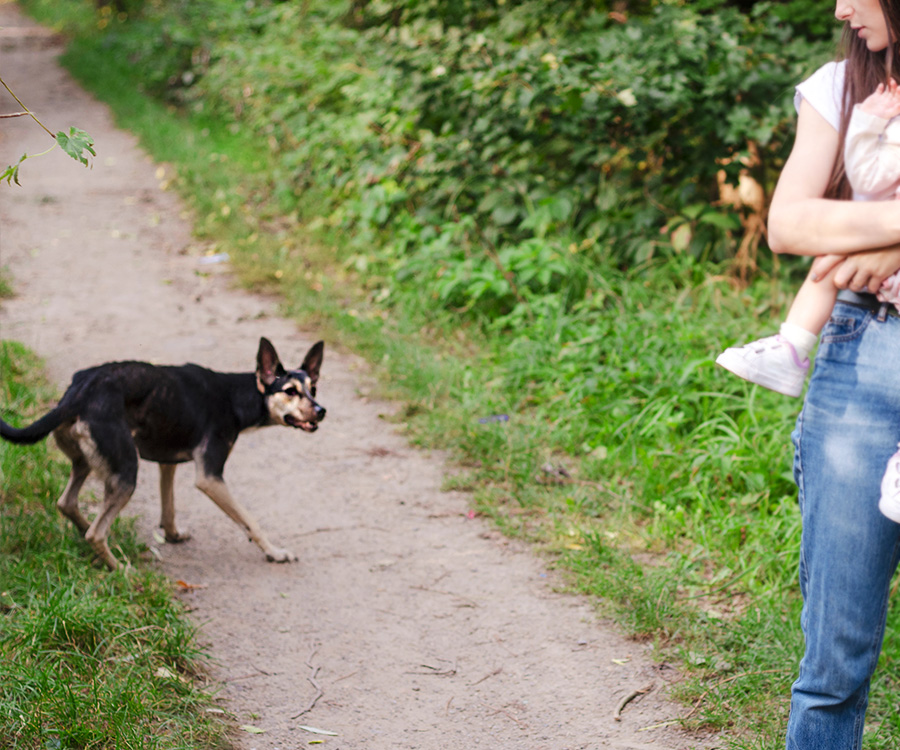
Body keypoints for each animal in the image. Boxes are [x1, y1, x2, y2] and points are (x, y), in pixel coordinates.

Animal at [0, 340, 324, 568]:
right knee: (96, 532)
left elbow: (169, 506)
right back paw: (121, 569)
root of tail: (77, 393)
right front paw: (275, 552)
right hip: (126, 472)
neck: (235, 397)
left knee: (67, 503)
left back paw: (86, 535)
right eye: (290, 391)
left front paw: (172, 535)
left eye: (314, 388)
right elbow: (250, 521)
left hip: (86, 461)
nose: (322, 411)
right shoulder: (210, 477)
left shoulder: (167, 462)